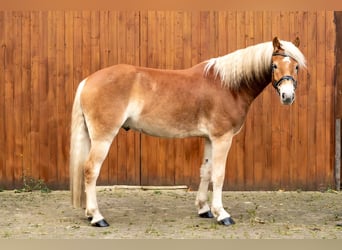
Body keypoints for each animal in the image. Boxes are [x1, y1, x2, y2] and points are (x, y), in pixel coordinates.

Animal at [70, 36, 308, 227]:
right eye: (274, 65)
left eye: (296, 67)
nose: (287, 96)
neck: (228, 85)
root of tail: (87, 81)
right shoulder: (222, 138)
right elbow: (219, 174)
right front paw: (222, 214)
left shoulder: (210, 139)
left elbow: (206, 171)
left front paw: (204, 210)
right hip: (103, 138)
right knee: (90, 170)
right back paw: (97, 217)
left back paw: (90, 214)